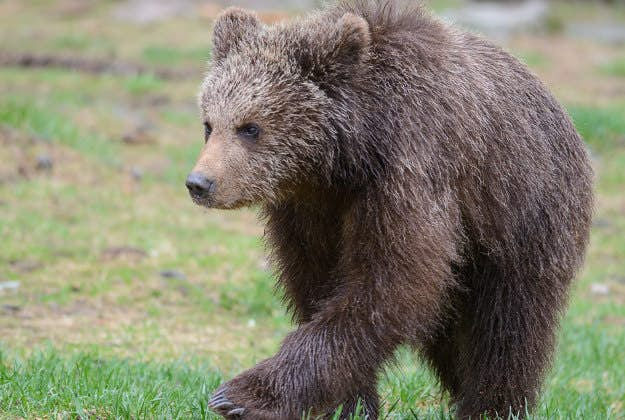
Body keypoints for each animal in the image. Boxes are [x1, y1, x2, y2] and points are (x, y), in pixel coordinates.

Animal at [184, 1, 588, 418]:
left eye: (250, 127)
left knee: (506, 330)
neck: (349, 158)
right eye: (209, 124)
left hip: (521, 219)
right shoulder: (309, 207)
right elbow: (317, 281)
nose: (200, 183)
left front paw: (241, 395)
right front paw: (350, 402)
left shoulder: (411, 169)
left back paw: (492, 404)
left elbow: (390, 286)